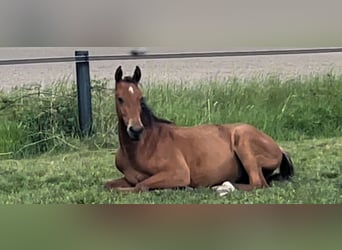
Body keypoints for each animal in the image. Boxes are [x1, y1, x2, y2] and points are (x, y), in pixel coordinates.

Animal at [105, 66, 294, 195]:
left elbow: (140, 186)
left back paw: (222, 186)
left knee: (258, 183)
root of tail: (279, 148)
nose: (136, 130)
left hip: (244, 139)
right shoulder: (128, 178)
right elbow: (108, 185)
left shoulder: (179, 173)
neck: (141, 148)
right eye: (120, 98)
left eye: (140, 98)